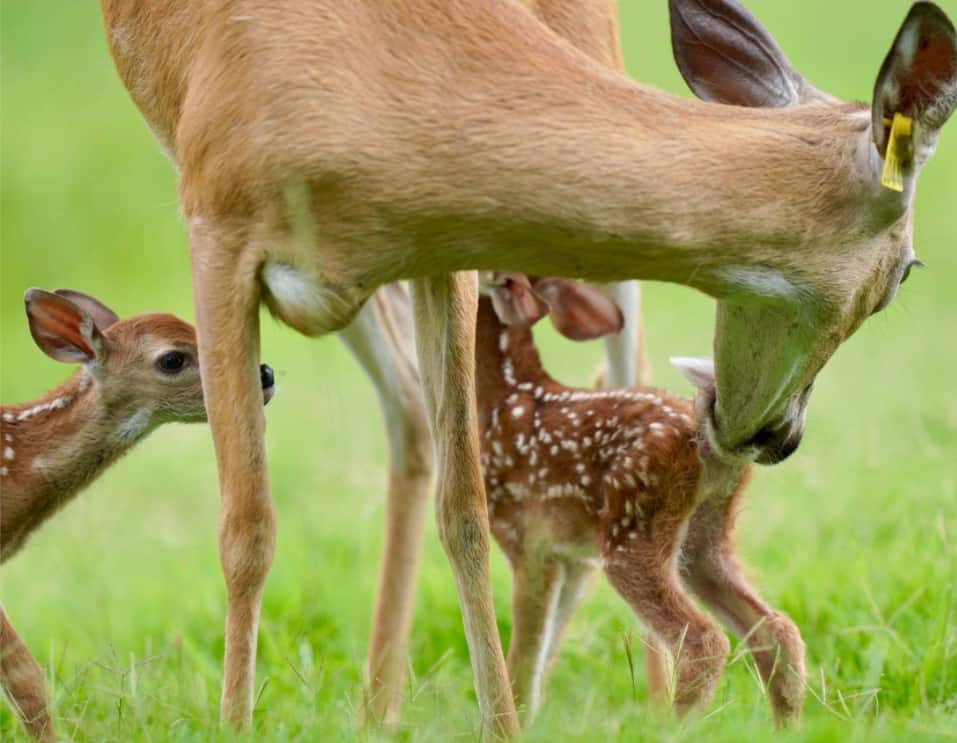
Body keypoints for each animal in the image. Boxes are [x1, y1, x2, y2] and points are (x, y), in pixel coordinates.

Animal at [475, 273, 805, 725]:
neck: (503, 398)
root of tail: (709, 444)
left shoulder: (529, 542)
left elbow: (524, 663)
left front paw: (516, 725)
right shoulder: (570, 555)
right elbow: (544, 654)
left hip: (632, 533)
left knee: (704, 639)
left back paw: (673, 728)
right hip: (704, 539)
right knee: (776, 629)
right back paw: (787, 728)